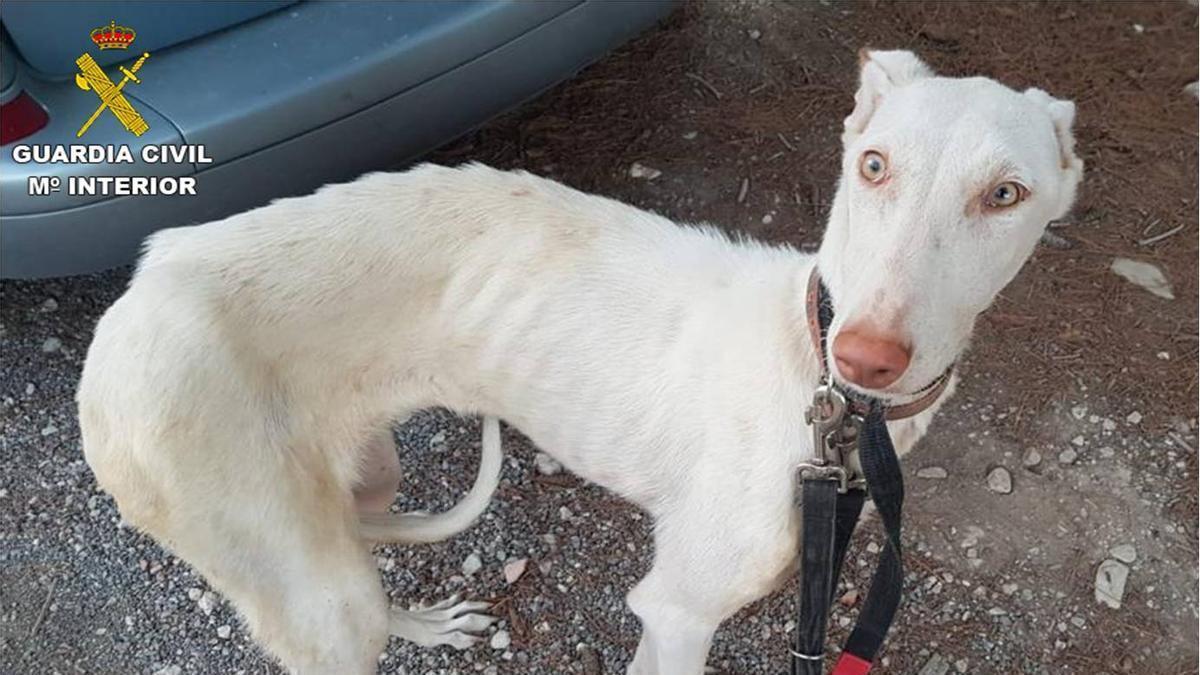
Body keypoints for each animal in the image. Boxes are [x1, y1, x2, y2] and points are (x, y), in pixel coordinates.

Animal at [79, 52, 1084, 672]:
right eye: (874, 165)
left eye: (1005, 193)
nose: (867, 356)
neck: (813, 379)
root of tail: (148, 279)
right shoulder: (678, 609)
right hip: (310, 589)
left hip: (358, 485)